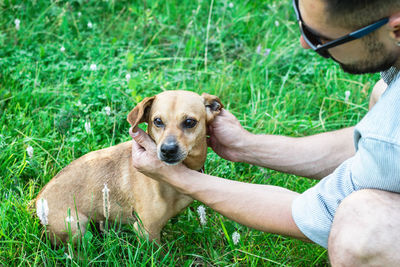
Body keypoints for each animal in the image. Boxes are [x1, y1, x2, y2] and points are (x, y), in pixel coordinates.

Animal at [35, 91, 222, 245]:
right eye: (157, 121)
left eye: (189, 122)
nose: (167, 150)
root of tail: (38, 201)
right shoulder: (147, 231)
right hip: (75, 225)